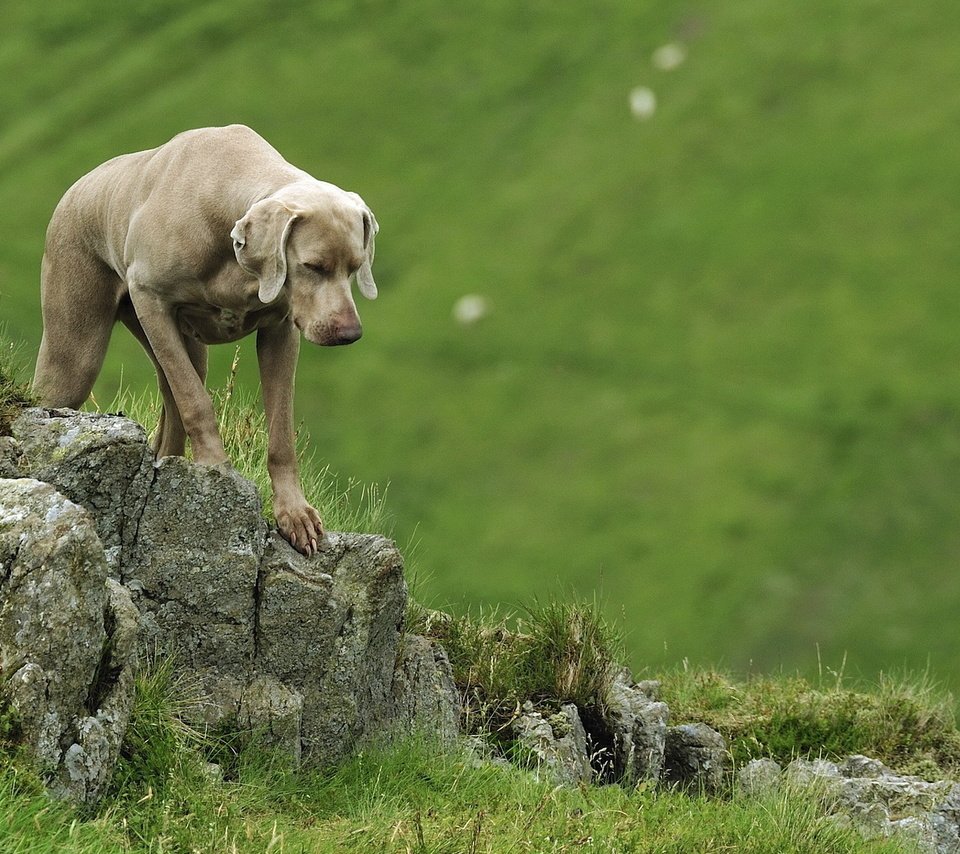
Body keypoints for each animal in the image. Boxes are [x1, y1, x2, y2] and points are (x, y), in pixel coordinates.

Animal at [34, 123, 378, 560]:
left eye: (355, 266)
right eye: (313, 266)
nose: (350, 334)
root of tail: (76, 188)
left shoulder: (281, 329)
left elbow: (281, 430)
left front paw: (294, 513)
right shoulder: (150, 298)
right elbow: (196, 401)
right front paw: (215, 472)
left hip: (181, 346)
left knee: (170, 415)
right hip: (79, 350)